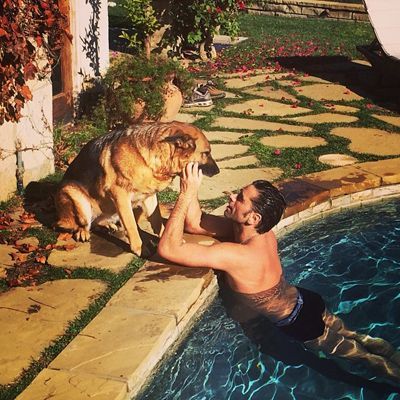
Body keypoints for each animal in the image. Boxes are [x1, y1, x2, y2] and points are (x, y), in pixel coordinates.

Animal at [54, 120, 219, 255]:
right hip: (73, 194)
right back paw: (83, 232)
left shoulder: (150, 196)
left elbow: (157, 219)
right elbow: (131, 225)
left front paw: (164, 238)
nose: (218, 171)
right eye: (206, 153)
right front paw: (140, 248)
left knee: (98, 222)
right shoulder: (121, 196)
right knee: (79, 224)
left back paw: (107, 225)